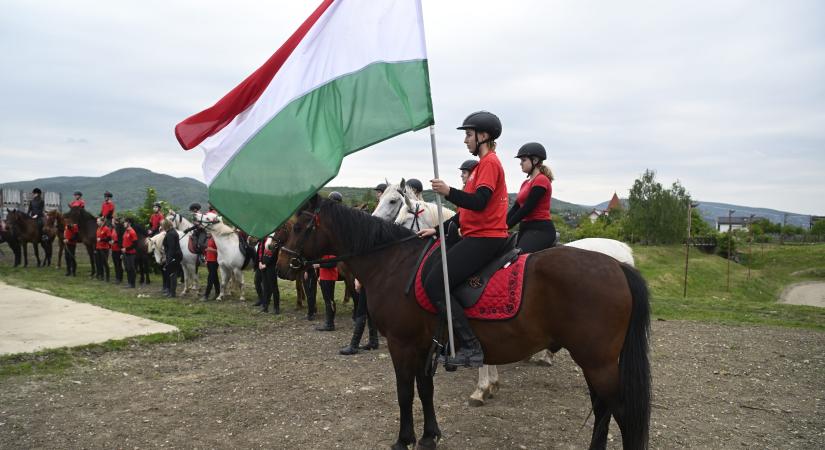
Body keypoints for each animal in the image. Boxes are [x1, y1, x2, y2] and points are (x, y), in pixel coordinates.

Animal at [276, 199, 652, 450]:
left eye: (298, 227)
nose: (281, 265)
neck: (395, 262)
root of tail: (618, 266)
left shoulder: (401, 343)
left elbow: (404, 391)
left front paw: (404, 439)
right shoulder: (423, 344)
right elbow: (425, 389)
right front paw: (429, 436)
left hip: (598, 362)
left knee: (620, 411)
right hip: (594, 361)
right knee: (603, 409)